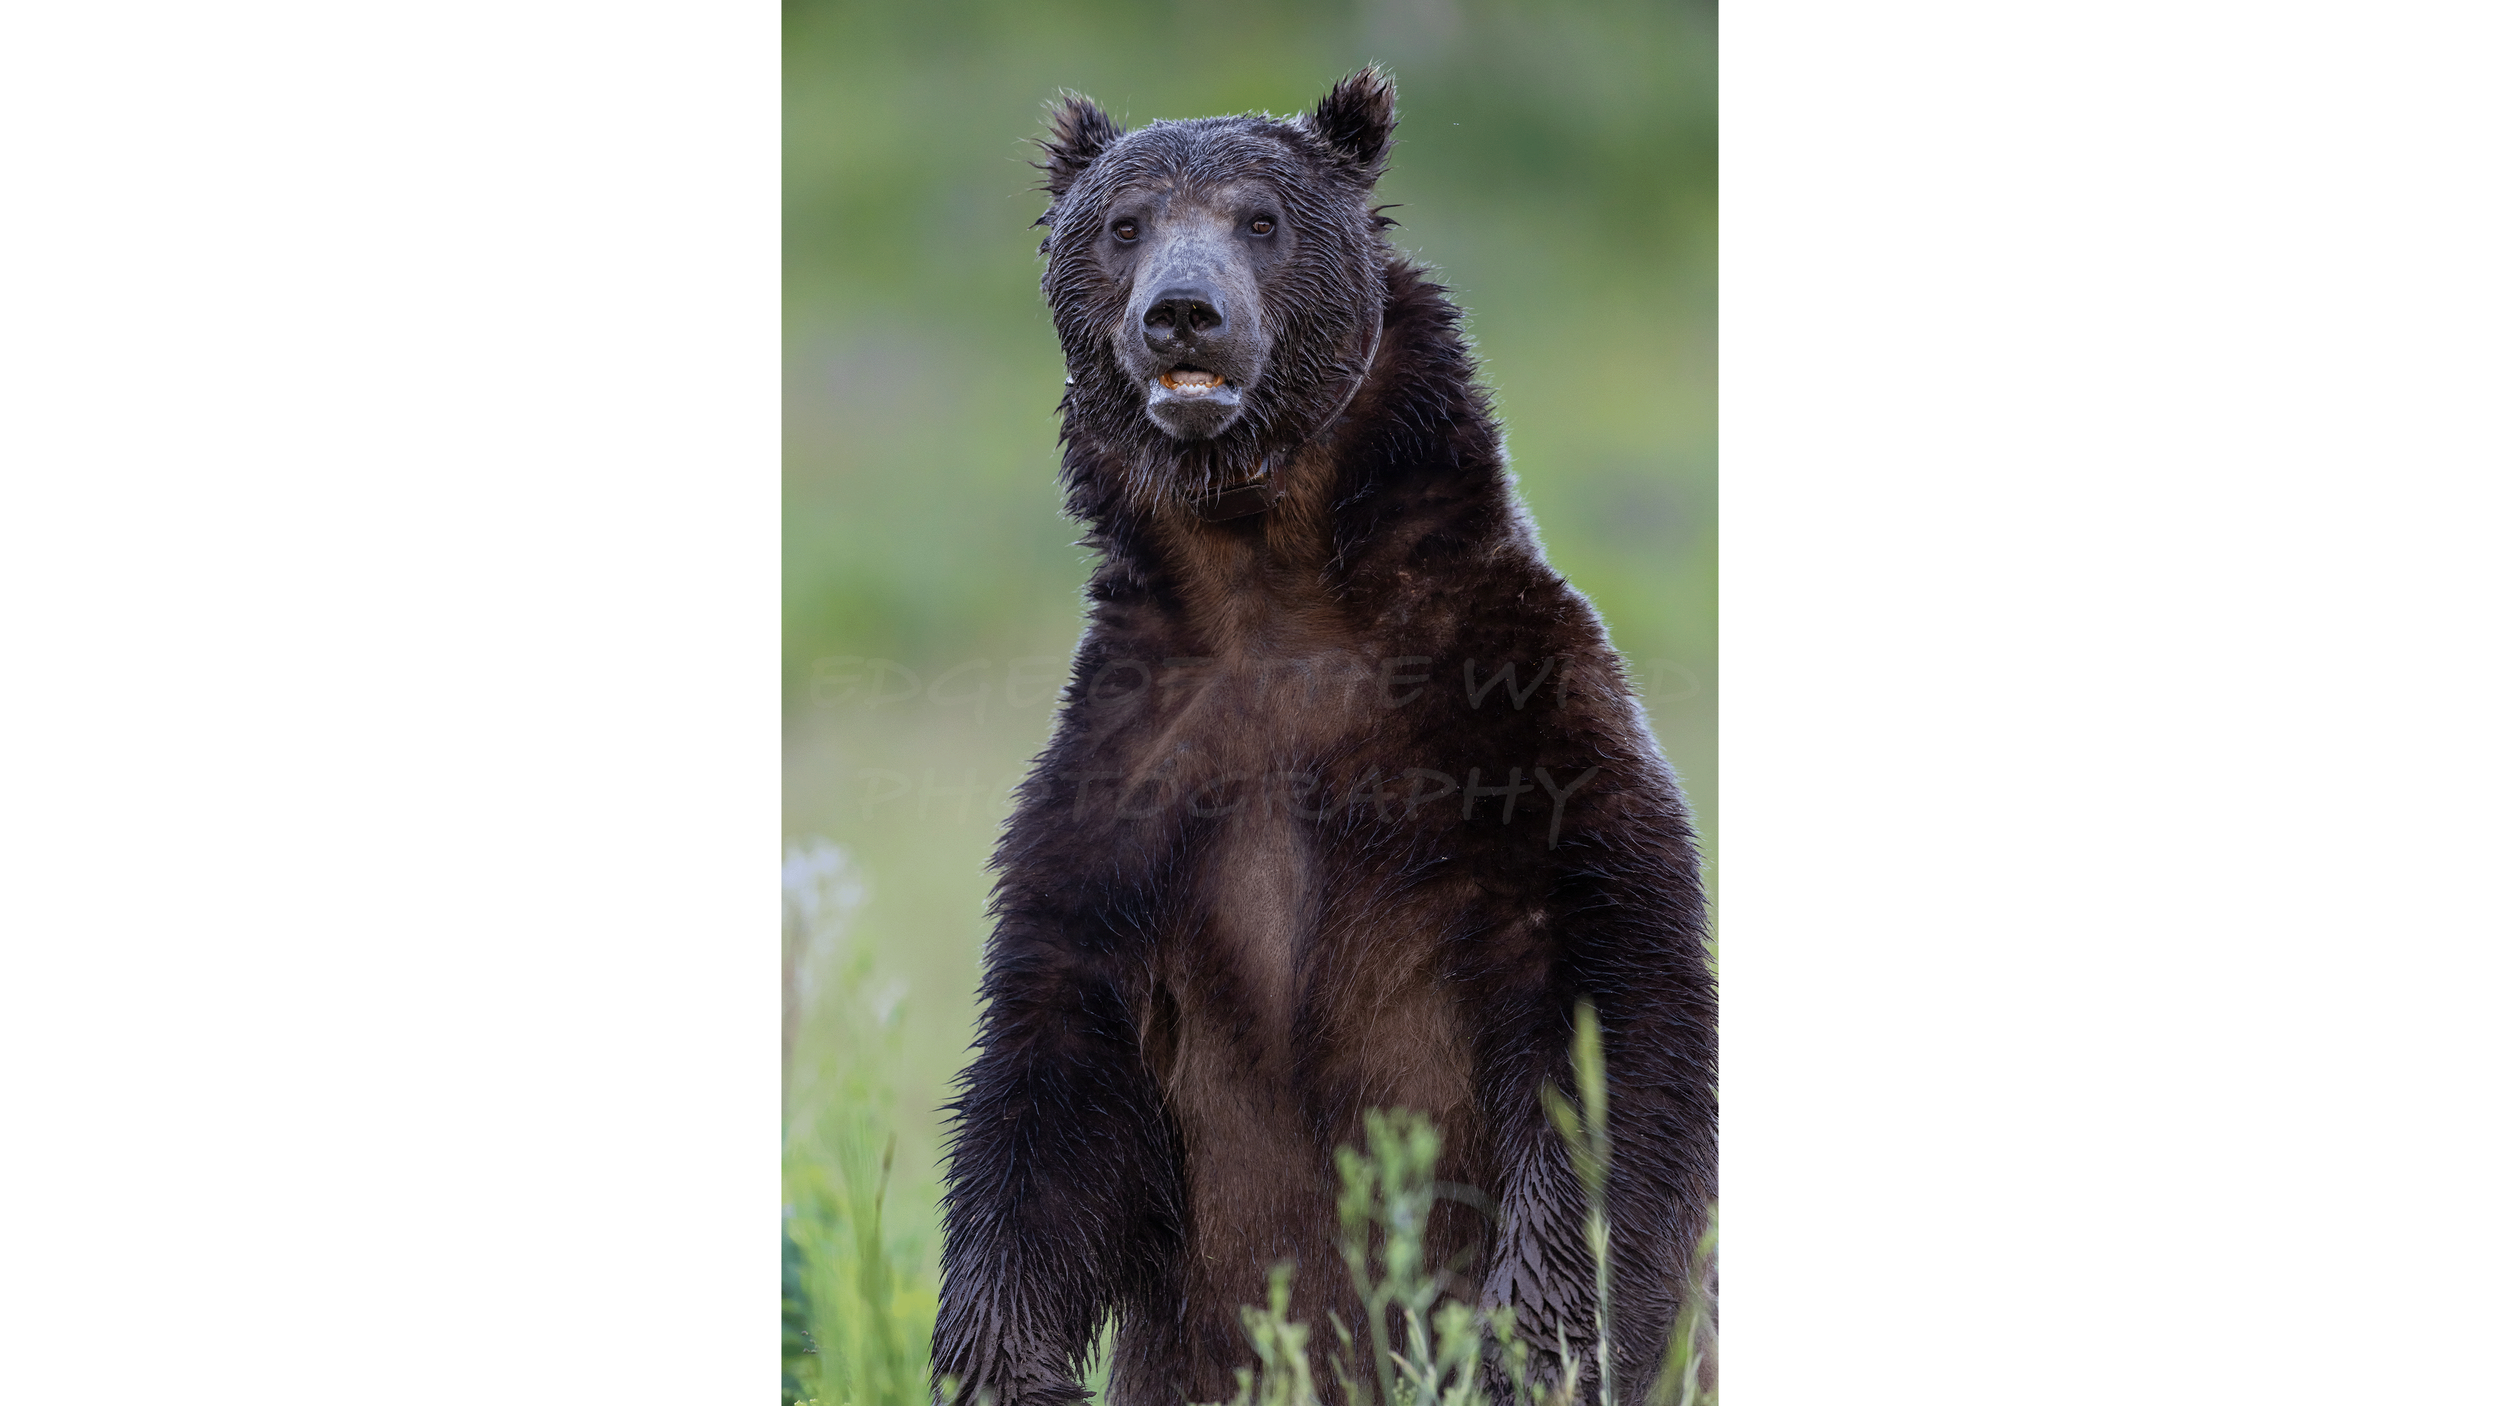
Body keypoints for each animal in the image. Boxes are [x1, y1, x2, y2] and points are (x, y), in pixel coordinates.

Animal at [933, 67, 1717, 1405]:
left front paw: (1528, 1341)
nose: (1182, 316)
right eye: (1123, 224)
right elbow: (1048, 1091)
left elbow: (1611, 1025)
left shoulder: (1517, 726)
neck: (1268, 584)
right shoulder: (1131, 778)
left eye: (1260, 217)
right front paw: (1010, 1369)